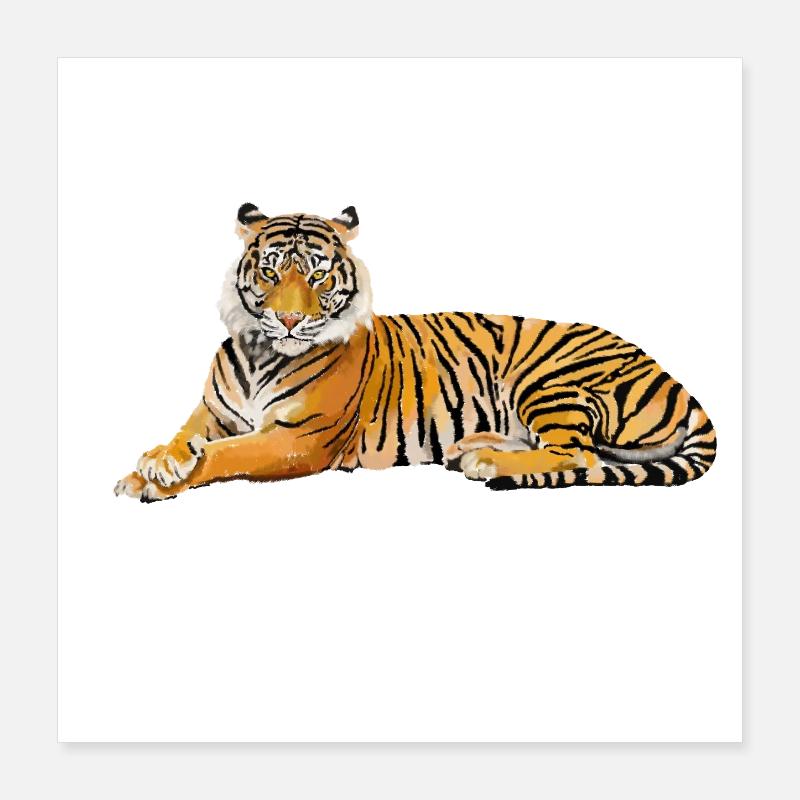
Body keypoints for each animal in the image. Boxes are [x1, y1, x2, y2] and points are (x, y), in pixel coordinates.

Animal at [114, 203, 717, 502]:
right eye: (270, 271)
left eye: (317, 274)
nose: (288, 319)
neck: (262, 351)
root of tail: (671, 375)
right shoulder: (211, 413)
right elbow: (186, 437)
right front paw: (152, 464)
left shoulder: (298, 441)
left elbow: (225, 454)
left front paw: (159, 479)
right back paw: (473, 446)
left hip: (549, 380)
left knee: (579, 456)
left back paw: (485, 461)